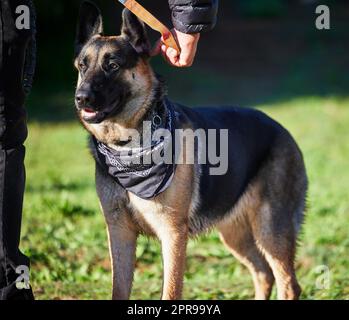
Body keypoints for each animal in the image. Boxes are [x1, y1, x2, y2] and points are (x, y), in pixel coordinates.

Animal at [74, 1, 308, 300]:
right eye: (82, 66)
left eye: (112, 66)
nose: (81, 98)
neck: (129, 148)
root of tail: (281, 128)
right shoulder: (119, 231)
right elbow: (119, 289)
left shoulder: (173, 234)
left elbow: (171, 291)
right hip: (235, 234)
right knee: (263, 273)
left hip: (270, 229)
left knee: (288, 283)